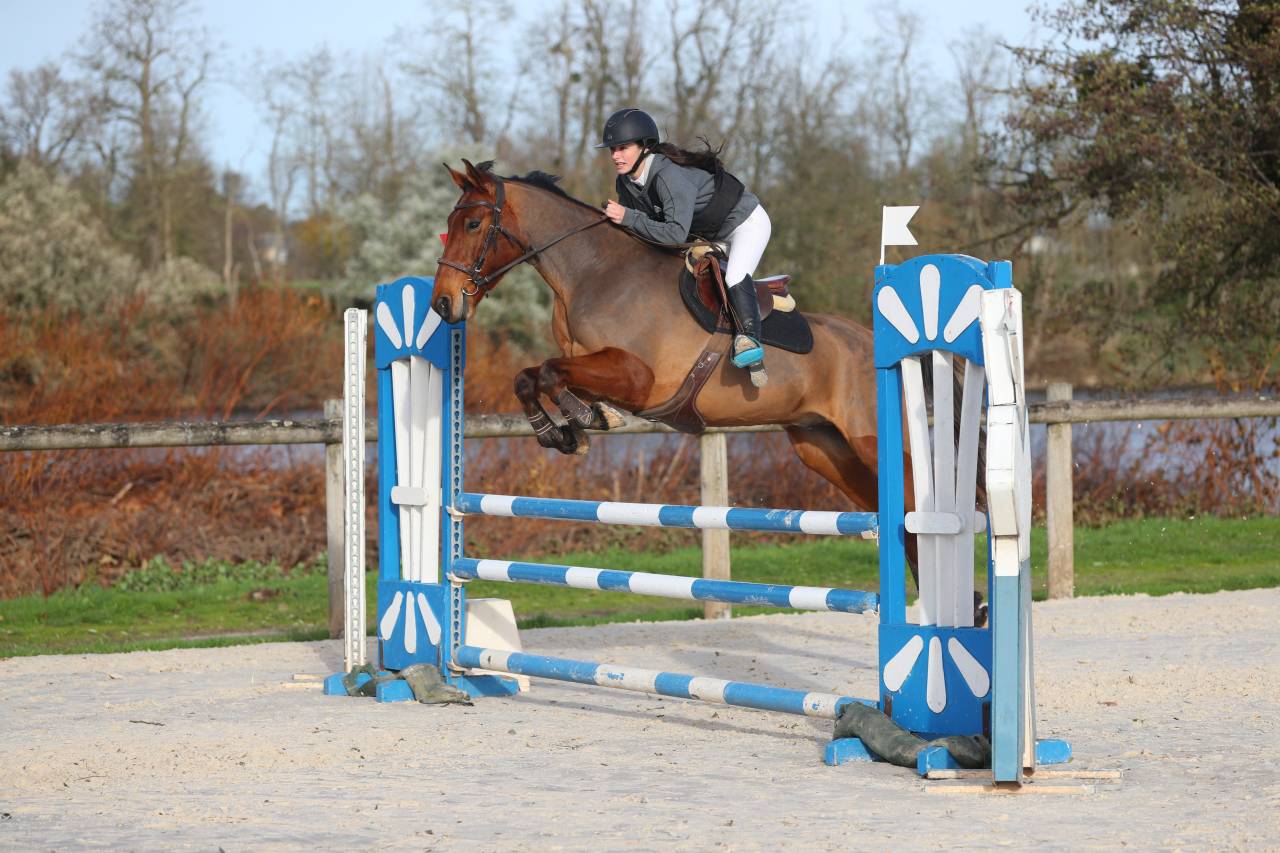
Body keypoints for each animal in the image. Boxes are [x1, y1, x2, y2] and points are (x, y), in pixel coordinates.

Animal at [431, 159, 925, 576]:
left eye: (473, 224)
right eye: (448, 226)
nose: (442, 303)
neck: (594, 273)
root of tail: (872, 341)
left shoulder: (638, 378)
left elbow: (551, 373)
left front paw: (583, 418)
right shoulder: (590, 364)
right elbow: (530, 376)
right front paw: (566, 429)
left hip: (869, 442)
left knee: (916, 508)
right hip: (823, 447)